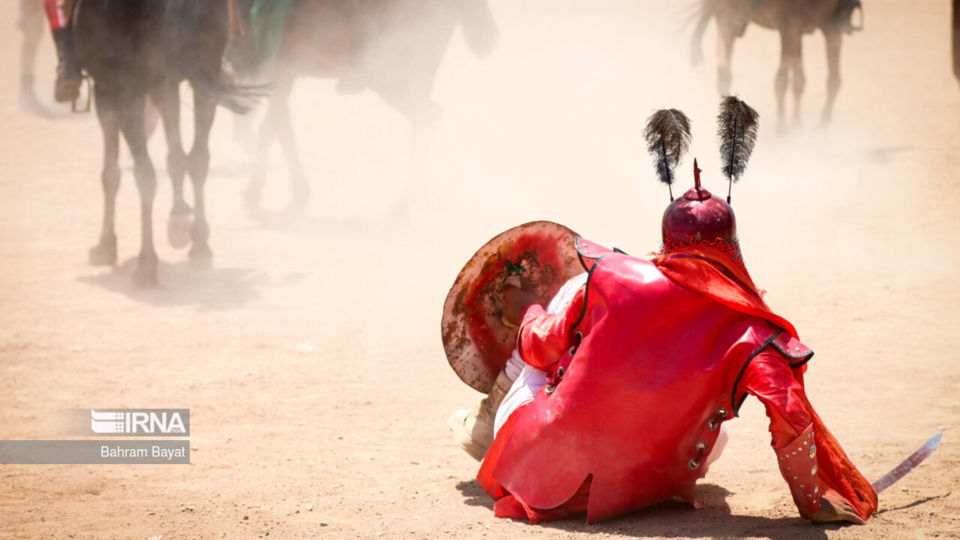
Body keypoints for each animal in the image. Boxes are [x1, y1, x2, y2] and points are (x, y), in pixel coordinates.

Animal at [74, 0, 251, 286]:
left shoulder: (107, 90)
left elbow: (110, 174)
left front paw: (105, 246)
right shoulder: (166, 84)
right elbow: (176, 155)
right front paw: (179, 219)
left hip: (128, 90)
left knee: (145, 174)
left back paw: (147, 265)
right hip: (203, 70)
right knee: (199, 157)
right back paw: (199, 244)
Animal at [235, 0, 498, 215]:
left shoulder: (281, 69)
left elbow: (275, 128)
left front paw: (262, 192)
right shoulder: (284, 72)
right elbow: (276, 126)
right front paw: (288, 192)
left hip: (386, 72)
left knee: (429, 116)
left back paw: (401, 208)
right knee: (426, 121)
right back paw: (417, 196)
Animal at [688, 0, 864, 129]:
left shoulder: (816, 25)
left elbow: (826, 80)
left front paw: (815, 122)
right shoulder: (793, 24)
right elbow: (789, 80)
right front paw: (790, 127)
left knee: (723, 72)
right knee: (725, 71)